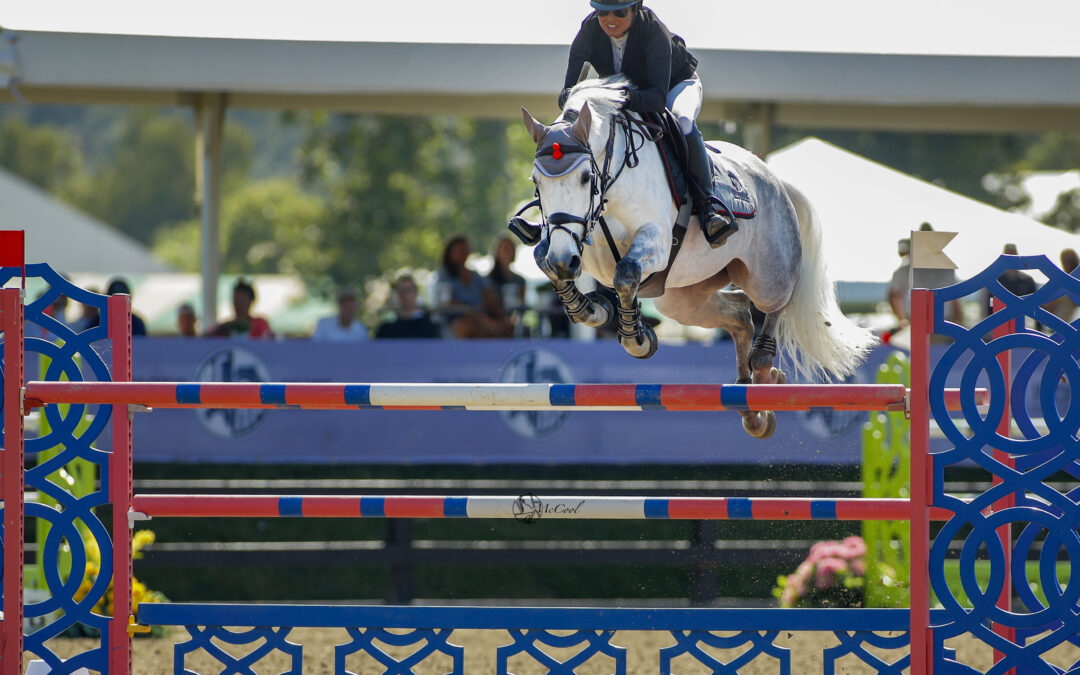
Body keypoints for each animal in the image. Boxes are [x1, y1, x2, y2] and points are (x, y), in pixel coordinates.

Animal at [516, 76, 876, 440]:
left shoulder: (655, 242)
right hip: (683, 298)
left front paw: (637, 339)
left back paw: (764, 379)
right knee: (739, 314)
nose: (566, 261)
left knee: (775, 305)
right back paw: (751, 407)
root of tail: (775, 180)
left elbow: (626, 273)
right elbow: (544, 258)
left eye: (585, 178)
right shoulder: (569, 241)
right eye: (536, 181)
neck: (611, 185)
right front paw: (592, 308)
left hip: (766, 276)